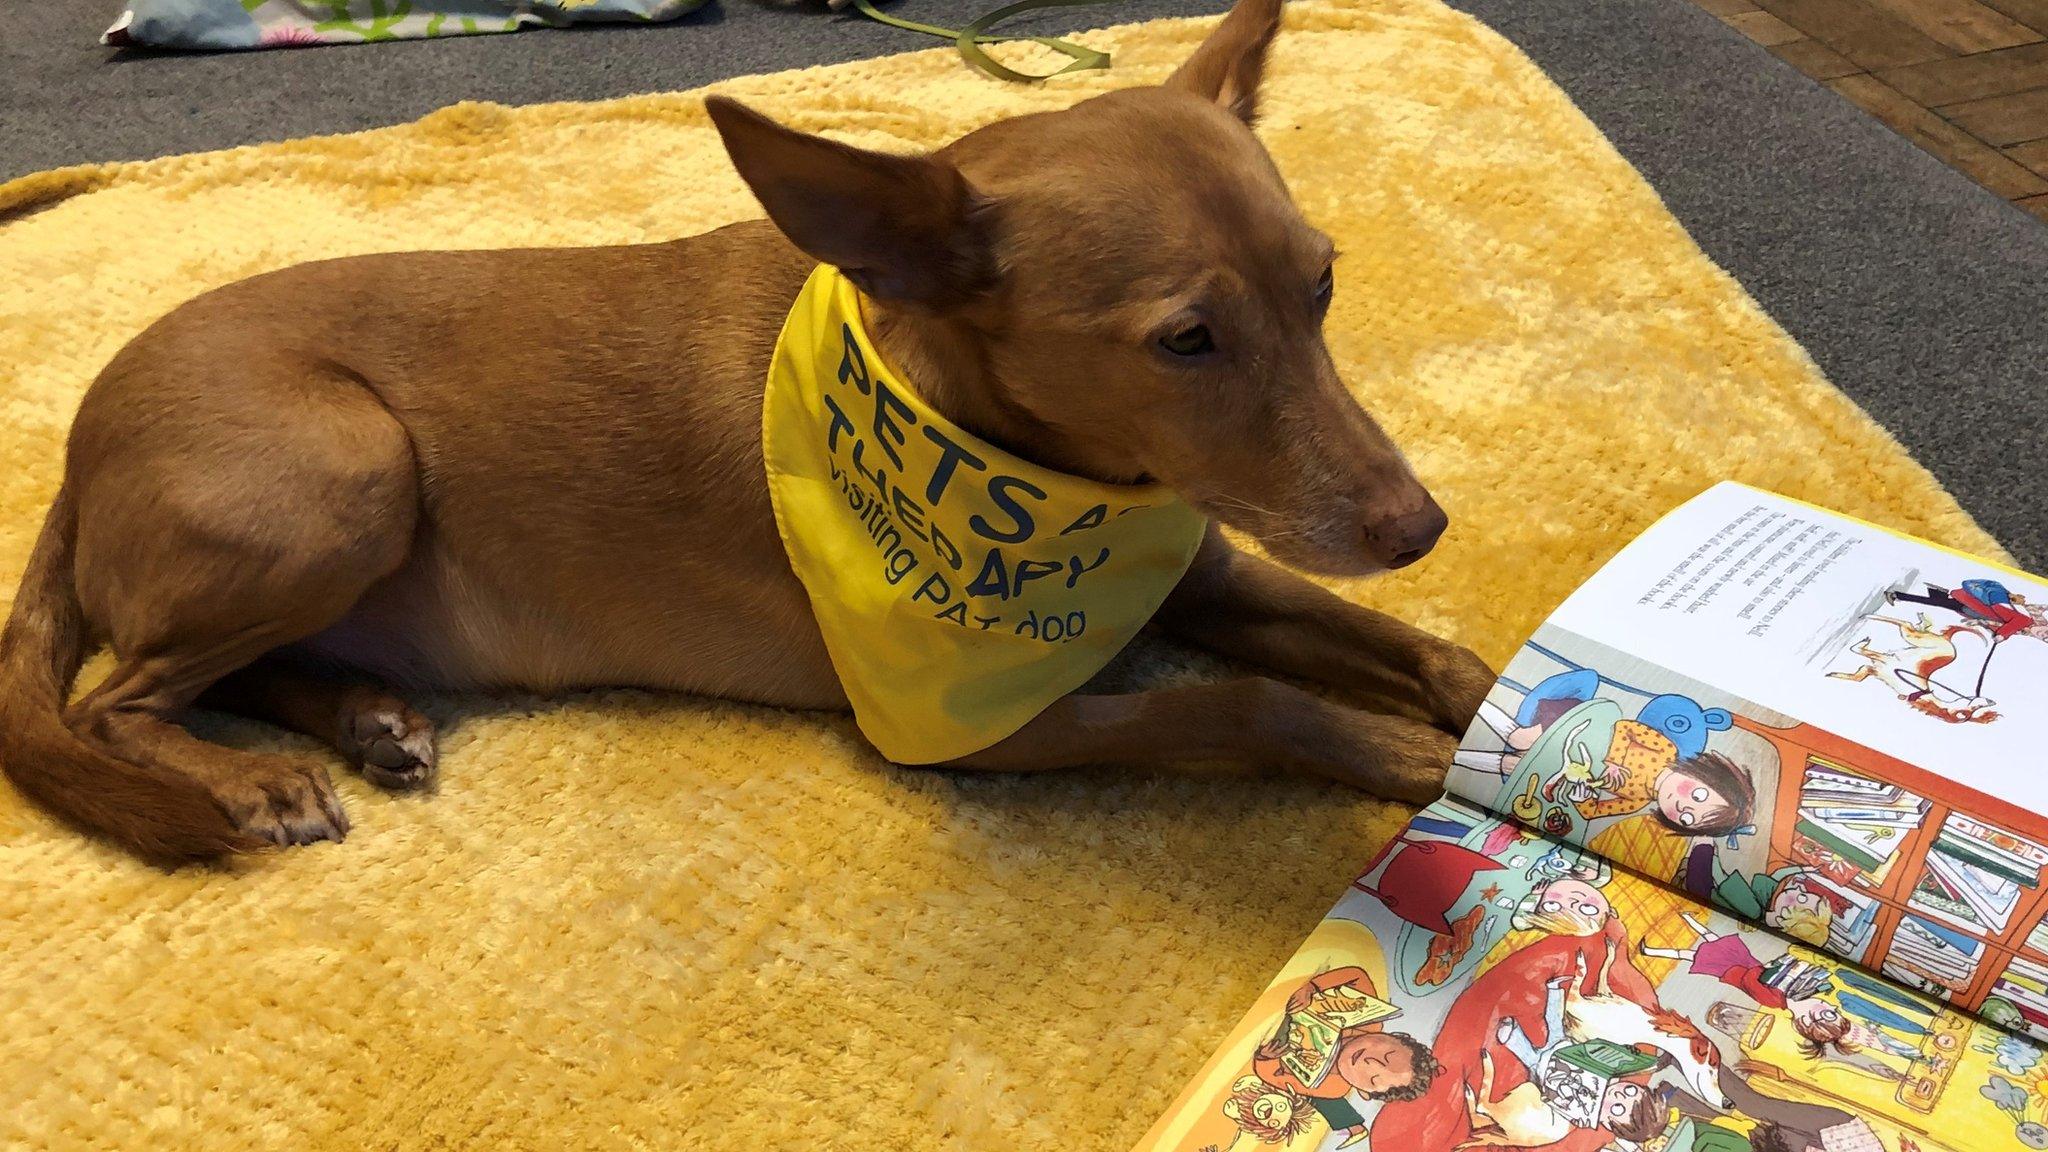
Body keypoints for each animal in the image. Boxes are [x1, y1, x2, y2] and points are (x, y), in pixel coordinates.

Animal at [4, 0, 1490, 856]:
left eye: (1323, 284)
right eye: (1186, 341)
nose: (1423, 527)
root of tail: (81, 444)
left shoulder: (1209, 568)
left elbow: (1429, 649)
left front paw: (1510, 710)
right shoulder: (975, 727)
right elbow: (1243, 700)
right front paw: (1411, 762)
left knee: (224, 672)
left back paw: (363, 716)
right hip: (349, 470)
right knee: (114, 702)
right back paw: (246, 786)